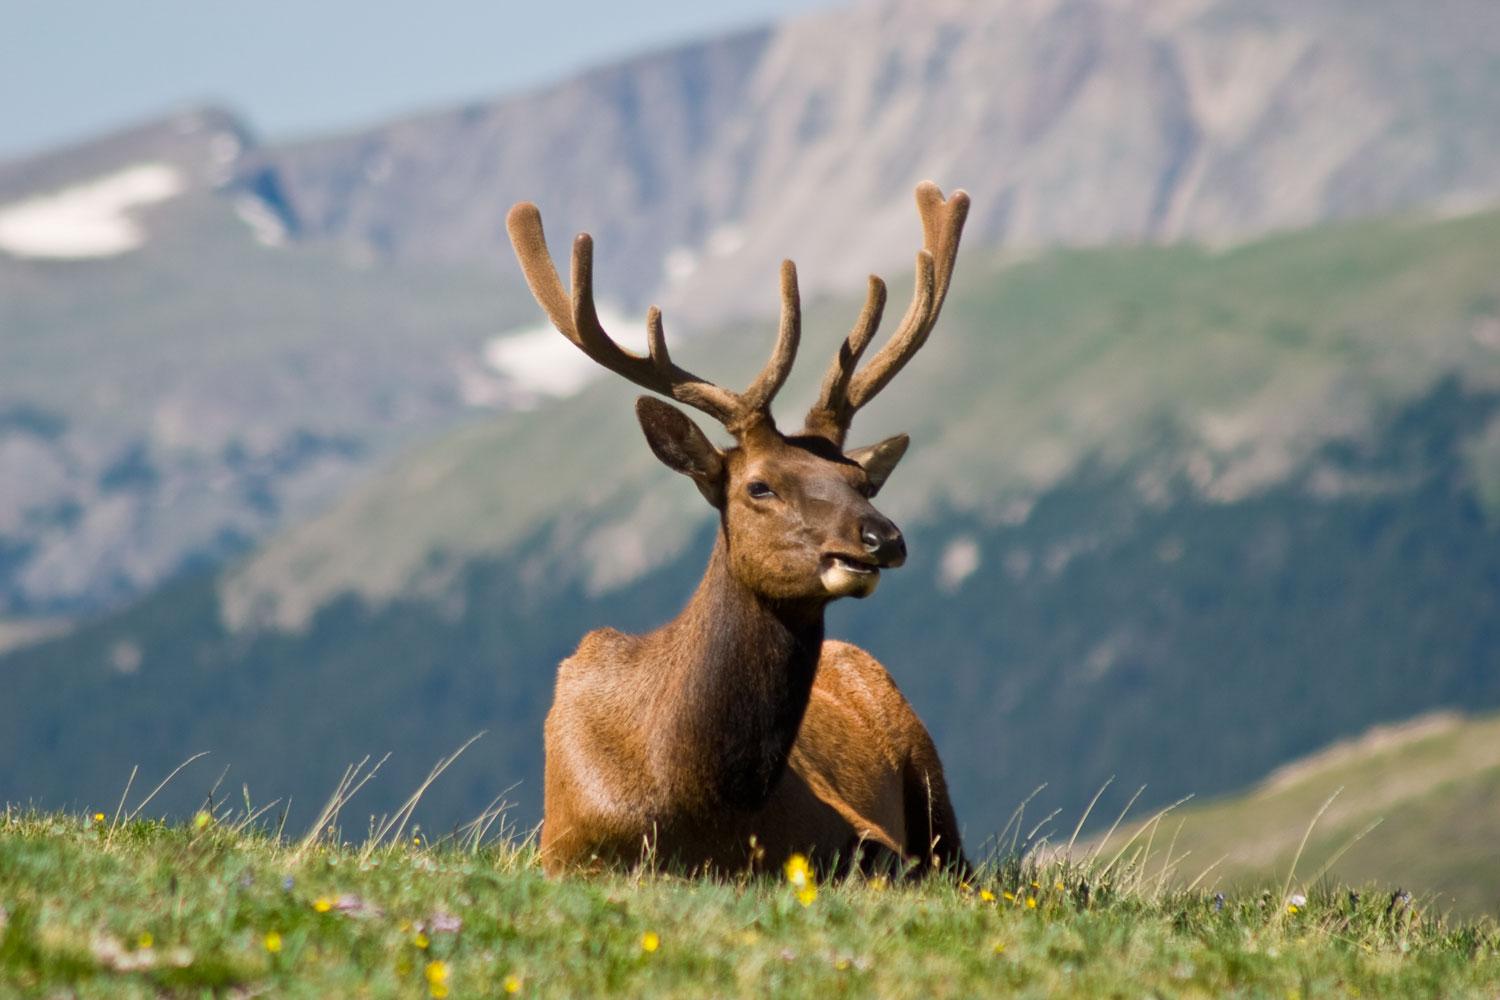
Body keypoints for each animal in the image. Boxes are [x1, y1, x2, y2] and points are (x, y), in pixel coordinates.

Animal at [507, 179, 972, 875]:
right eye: (759, 486)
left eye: (861, 483)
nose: (883, 539)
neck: (695, 809)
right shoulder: (561, 850)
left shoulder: (862, 834)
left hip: (930, 773)